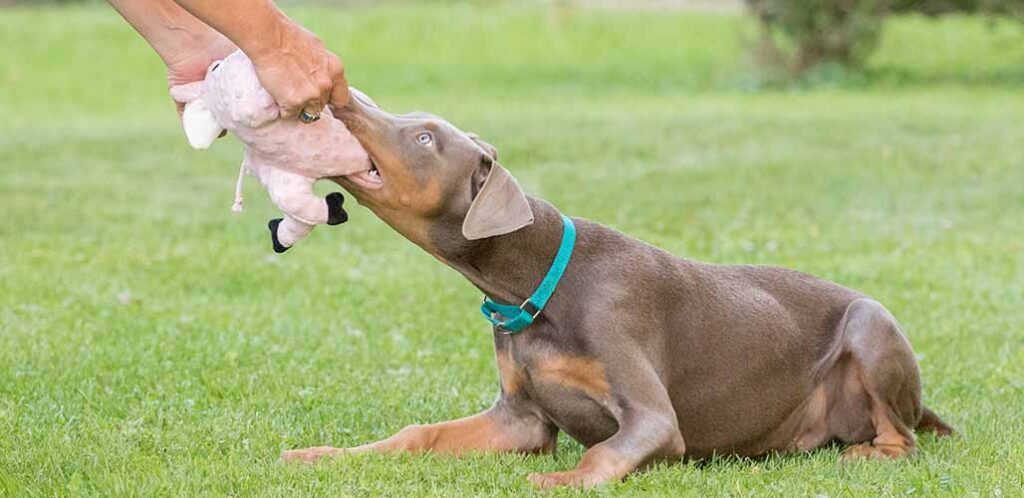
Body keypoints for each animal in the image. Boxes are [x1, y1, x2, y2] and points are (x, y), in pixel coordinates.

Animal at [280, 91, 950, 487]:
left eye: (424, 139)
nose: (342, 99)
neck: (536, 290)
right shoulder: (519, 420)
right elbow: (421, 434)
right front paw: (323, 456)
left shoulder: (651, 416)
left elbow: (605, 451)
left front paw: (557, 481)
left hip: (871, 326)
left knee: (906, 438)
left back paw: (867, 452)